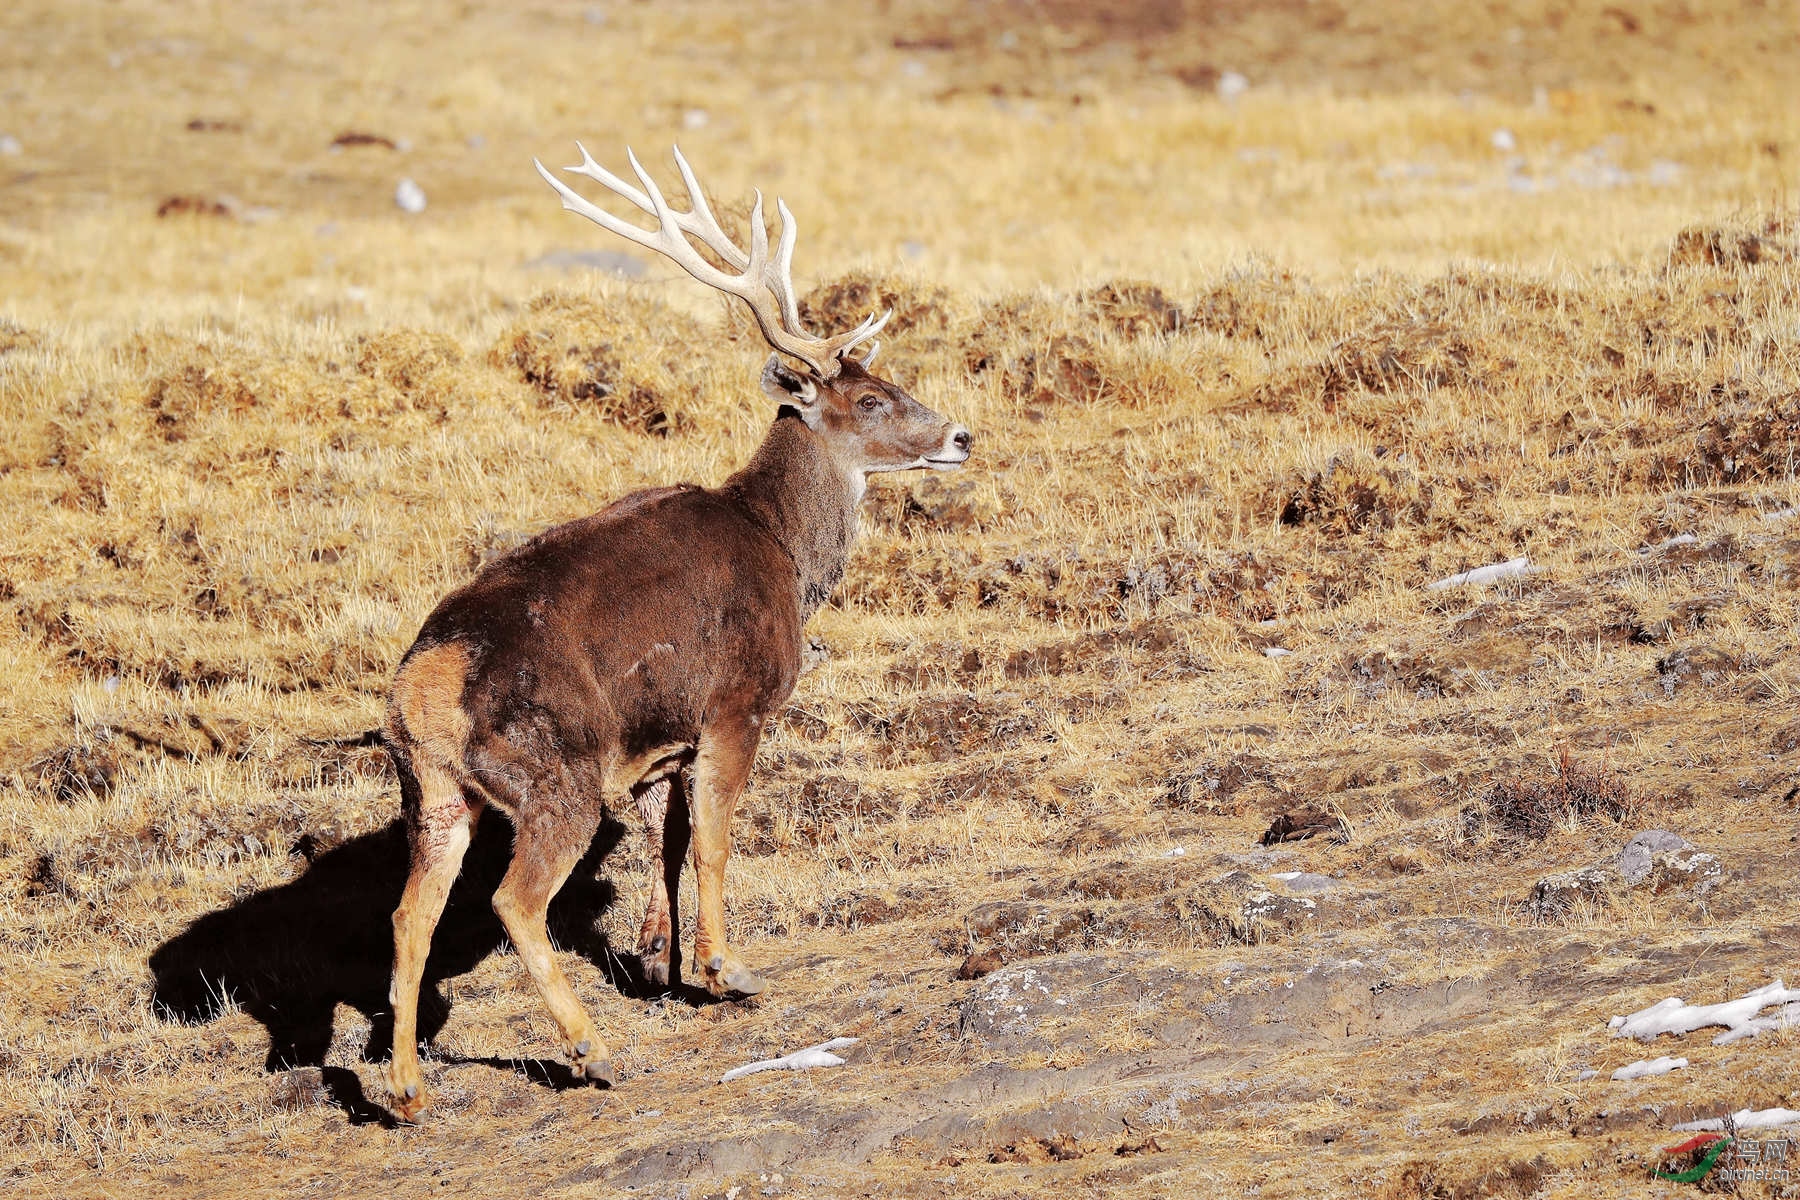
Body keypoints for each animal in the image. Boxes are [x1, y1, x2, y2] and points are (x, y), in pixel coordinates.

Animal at [379, 145, 972, 1122]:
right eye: (873, 398)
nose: (962, 435)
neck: (783, 550)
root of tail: (422, 689)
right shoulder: (736, 702)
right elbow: (717, 838)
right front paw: (725, 968)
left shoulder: (665, 741)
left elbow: (666, 844)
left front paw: (660, 963)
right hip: (555, 773)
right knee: (513, 901)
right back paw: (591, 1050)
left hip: (433, 793)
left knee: (409, 914)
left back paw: (406, 1089)